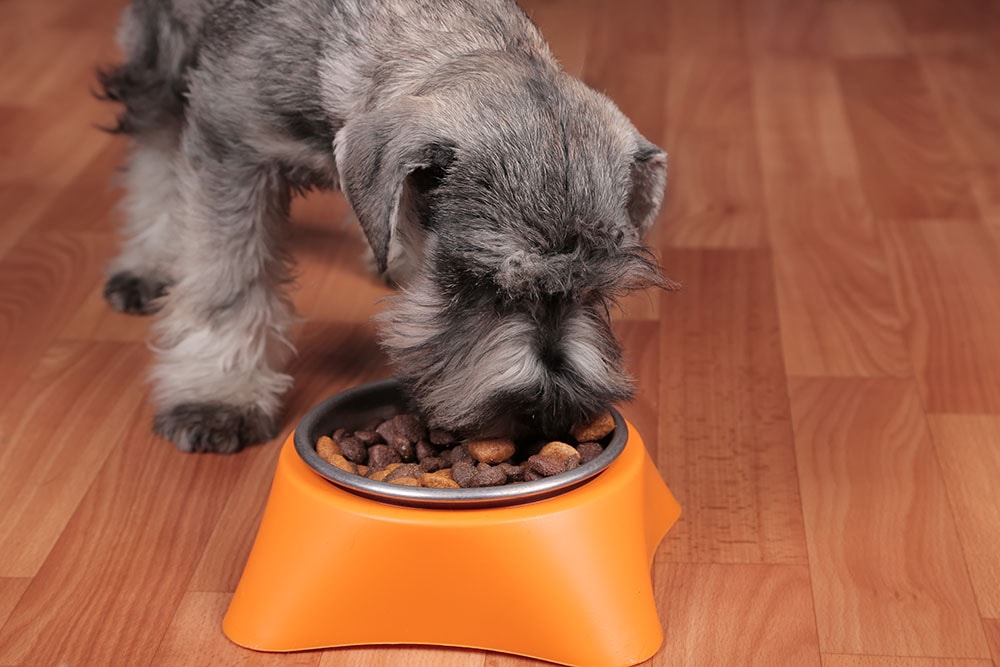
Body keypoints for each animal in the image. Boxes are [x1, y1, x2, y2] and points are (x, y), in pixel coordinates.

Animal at [97, 0, 676, 454]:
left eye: (596, 292)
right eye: (478, 282)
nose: (548, 414)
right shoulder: (233, 150)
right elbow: (229, 280)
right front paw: (218, 395)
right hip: (162, 56)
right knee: (155, 147)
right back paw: (148, 263)